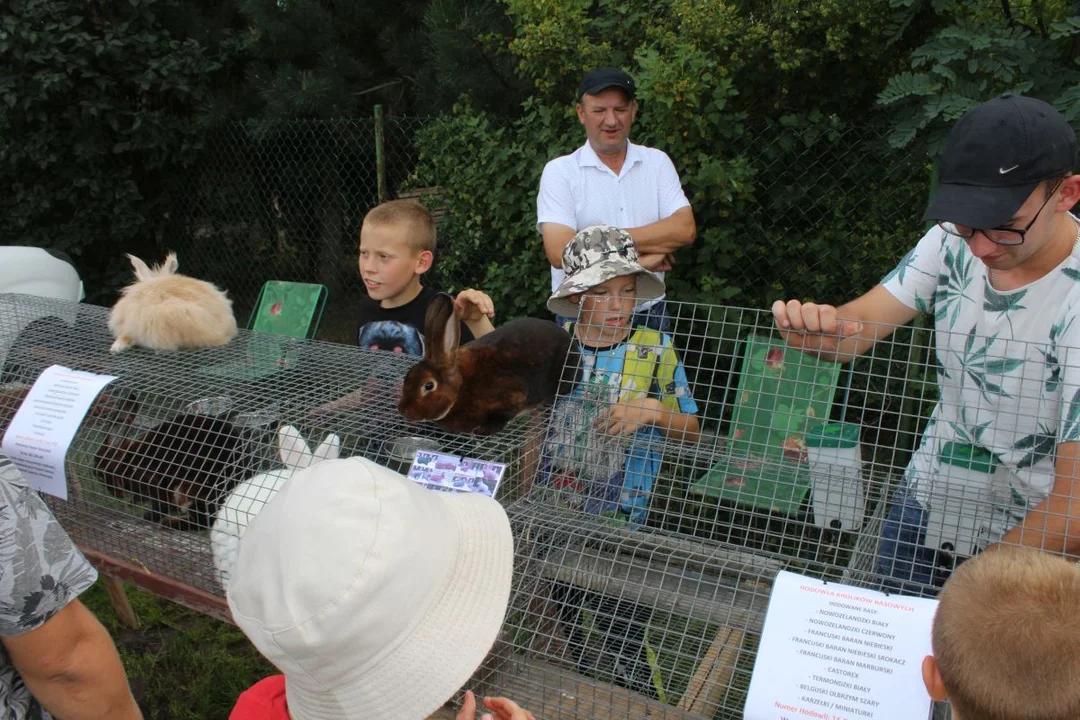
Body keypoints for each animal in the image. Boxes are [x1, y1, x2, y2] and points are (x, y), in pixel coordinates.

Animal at [399, 291, 583, 433]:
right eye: (407, 378)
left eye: (429, 385)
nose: (403, 410)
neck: (461, 385)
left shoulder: (512, 395)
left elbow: (503, 415)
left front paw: (483, 430)